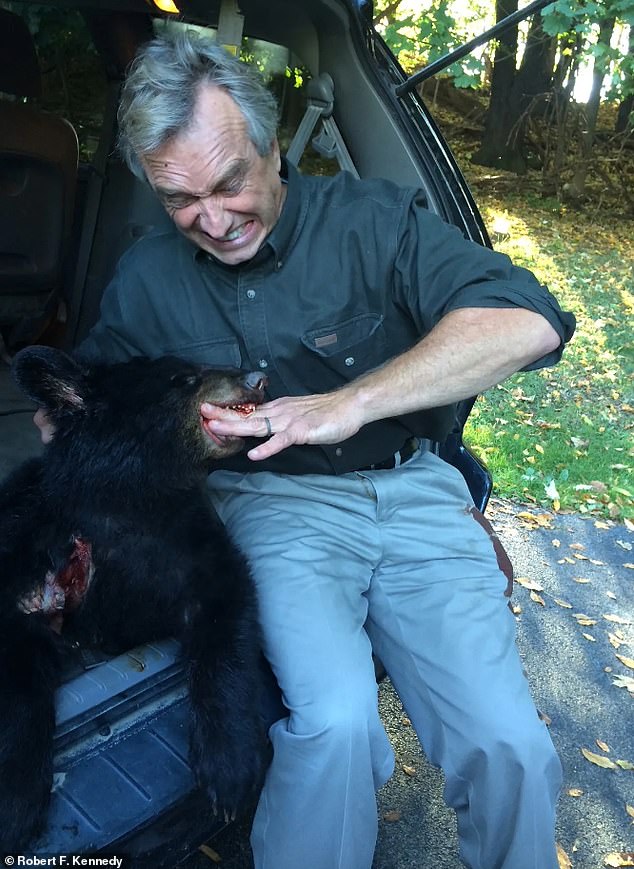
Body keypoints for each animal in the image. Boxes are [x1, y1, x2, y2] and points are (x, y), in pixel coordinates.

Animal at [0, 344, 270, 848]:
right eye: (183, 378)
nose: (256, 378)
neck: (128, 497)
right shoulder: (29, 543)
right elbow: (18, 668)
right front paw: (15, 804)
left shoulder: (186, 543)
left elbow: (228, 621)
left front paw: (229, 769)